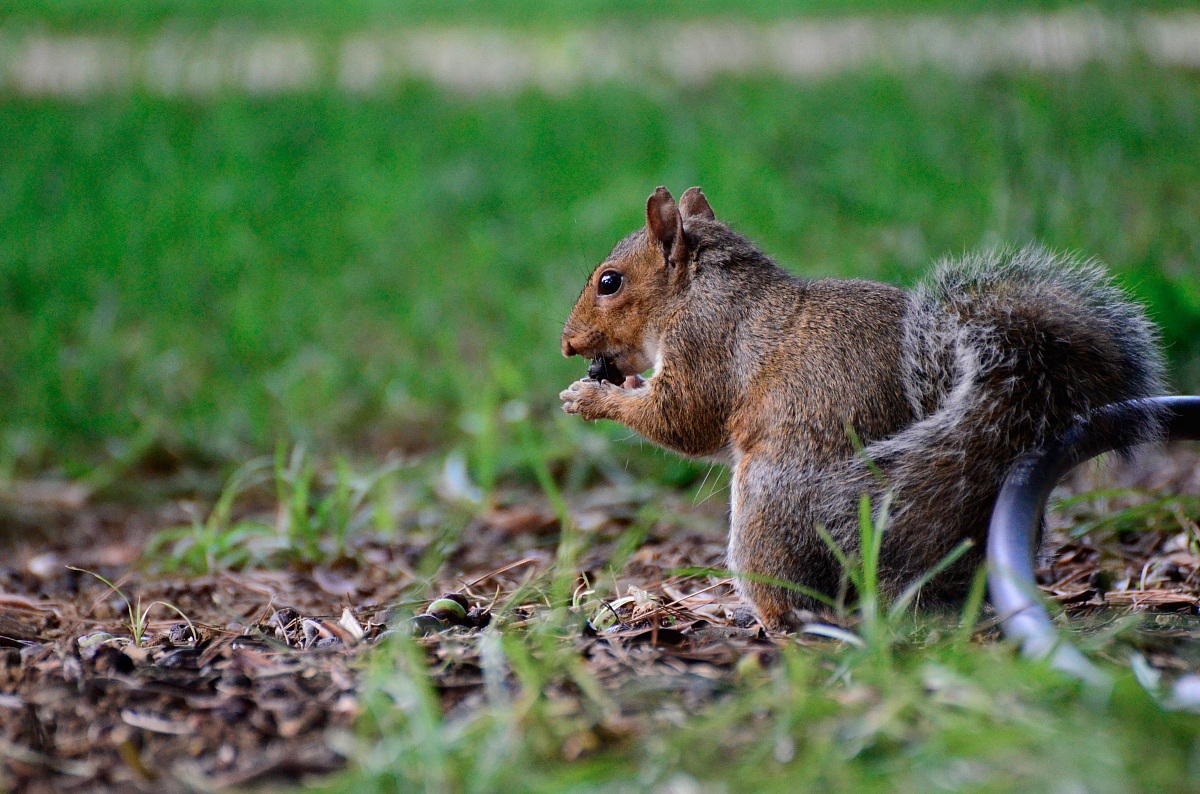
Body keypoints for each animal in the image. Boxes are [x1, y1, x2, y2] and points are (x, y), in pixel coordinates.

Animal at [559, 186, 1166, 631]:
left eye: (609, 282)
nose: (567, 344)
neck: (699, 289)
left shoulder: (706, 343)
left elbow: (685, 419)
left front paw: (593, 397)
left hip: (768, 503)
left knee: (799, 596)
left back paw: (765, 617)